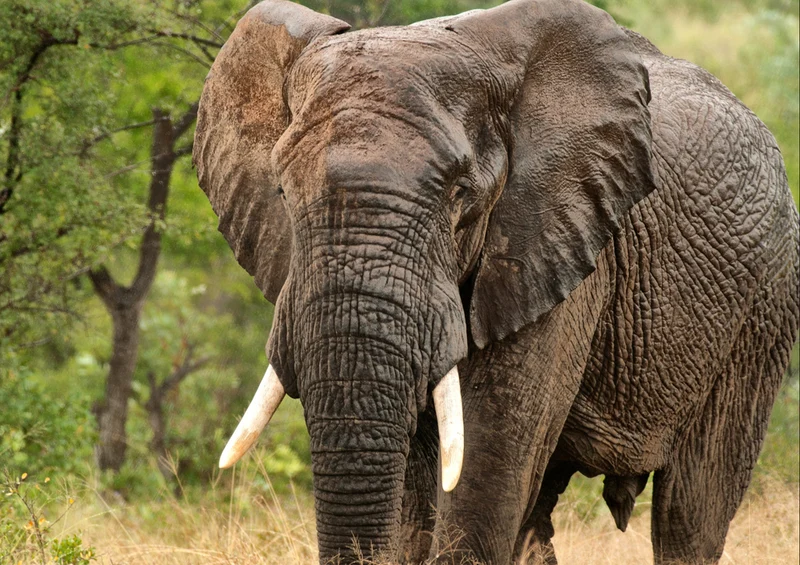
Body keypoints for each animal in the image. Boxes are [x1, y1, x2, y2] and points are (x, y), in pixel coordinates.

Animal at [193, 0, 800, 563]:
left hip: (764, 307)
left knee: (691, 510)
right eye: (282, 191)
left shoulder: (561, 242)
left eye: (460, 195)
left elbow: (486, 461)